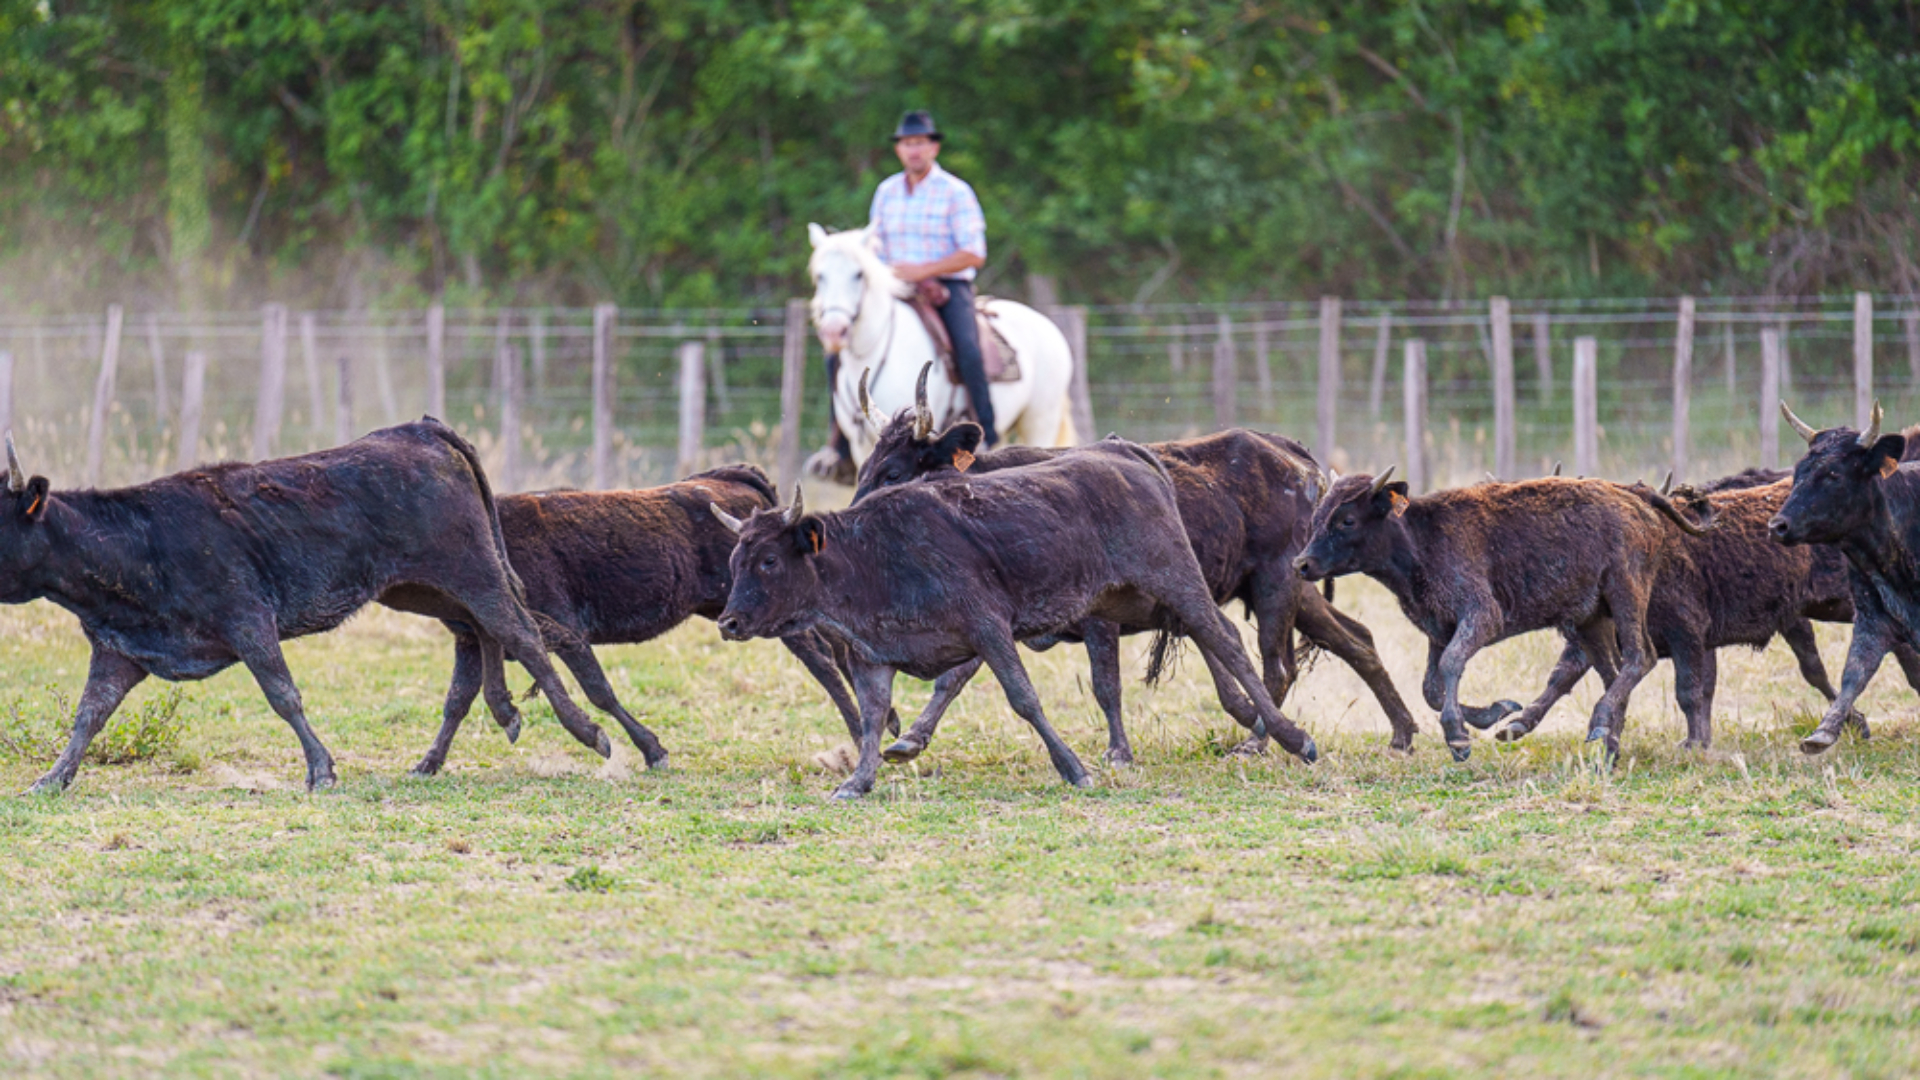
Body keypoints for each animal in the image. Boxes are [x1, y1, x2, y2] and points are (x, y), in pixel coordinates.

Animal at [0, 417, 610, 787]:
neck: (140, 540)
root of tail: (420, 428)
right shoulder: (119, 648)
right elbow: (89, 714)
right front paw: (51, 778)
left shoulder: (247, 618)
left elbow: (283, 695)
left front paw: (321, 769)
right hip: (424, 588)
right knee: (486, 631)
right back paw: (502, 713)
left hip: (472, 569)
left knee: (521, 633)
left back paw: (590, 732)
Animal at [718, 438, 1320, 799]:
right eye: (734, 559)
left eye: (768, 559)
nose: (729, 622)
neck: (874, 554)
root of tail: (1127, 456)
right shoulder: (872, 656)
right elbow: (872, 719)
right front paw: (859, 779)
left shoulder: (989, 629)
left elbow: (1023, 699)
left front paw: (1074, 767)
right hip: (1133, 600)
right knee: (1216, 641)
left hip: (1179, 580)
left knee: (1231, 643)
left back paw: (1290, 737)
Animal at [802, 220, 1082, 468]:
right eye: (819, 276)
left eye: (858, 274)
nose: (834, 331)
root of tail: (1047, 324)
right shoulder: (862, 444)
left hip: (1040, 420)